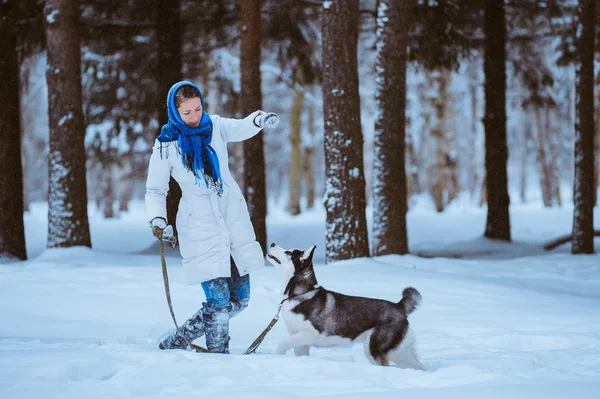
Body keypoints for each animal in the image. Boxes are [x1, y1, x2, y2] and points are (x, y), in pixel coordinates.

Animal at [268, 242, 426, 370]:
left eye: (289, 253)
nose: (272, 243)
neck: (299, 293)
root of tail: (399, 306)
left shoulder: (312, 333)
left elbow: (282, 343)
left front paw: (277, 357)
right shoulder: (300, 340)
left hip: (374, 350)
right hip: (399, 352)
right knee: (417, 365)